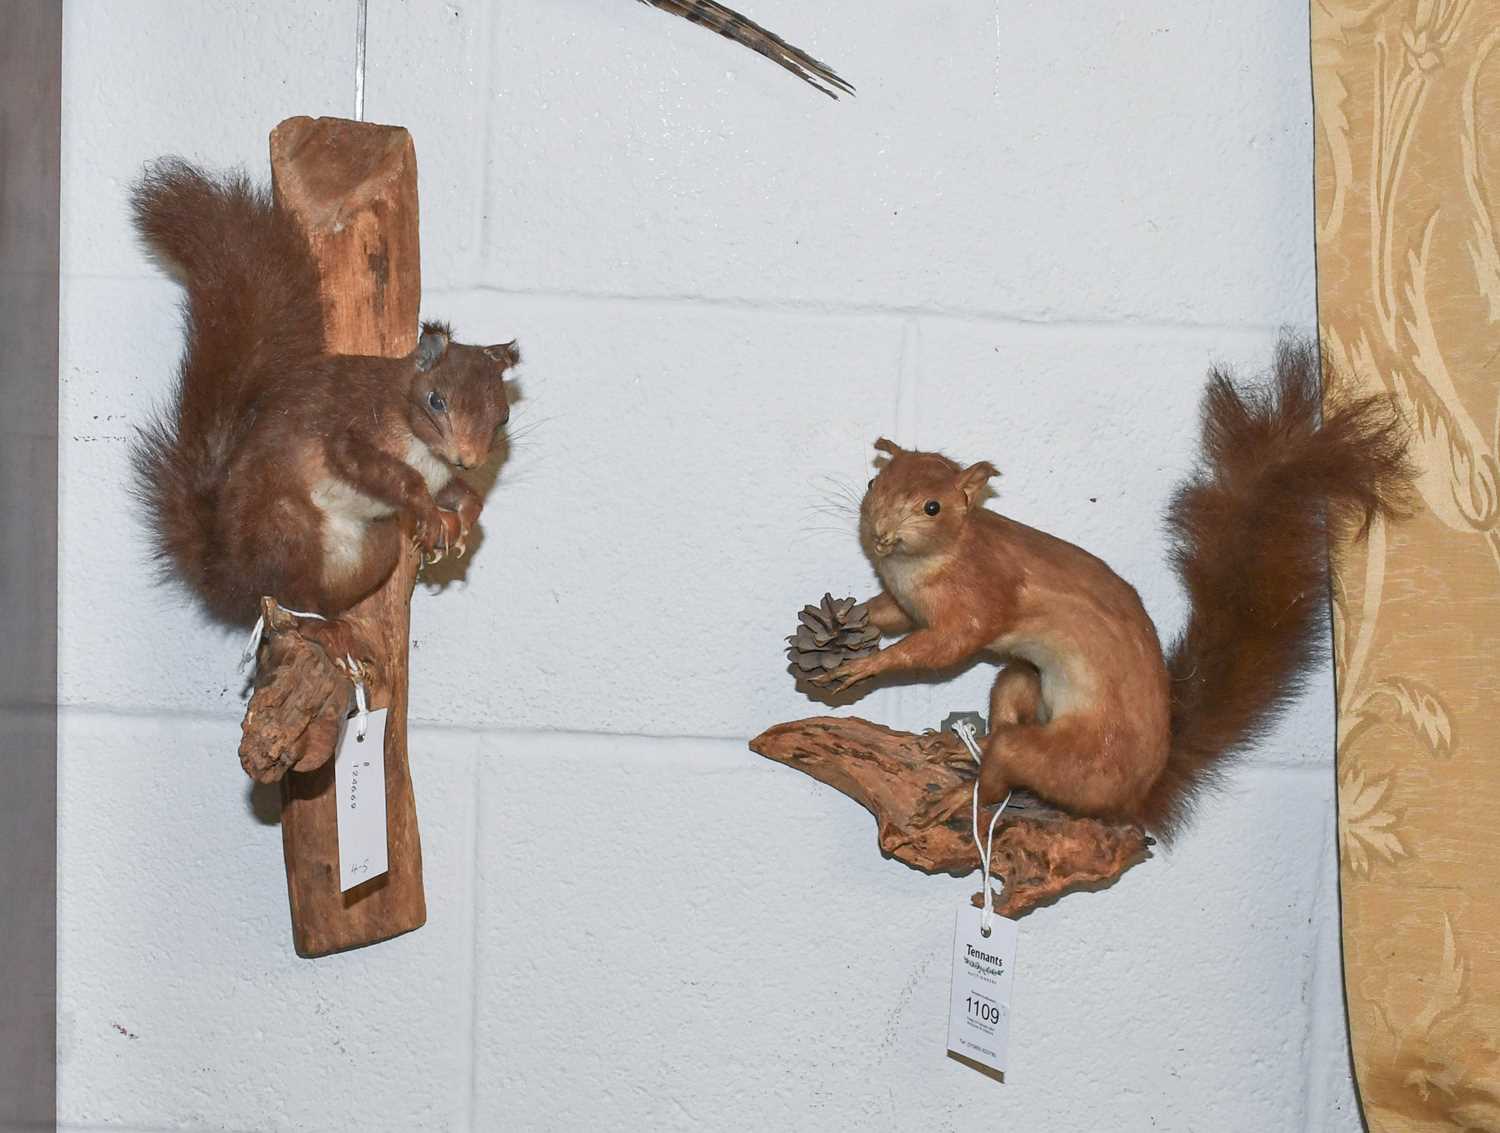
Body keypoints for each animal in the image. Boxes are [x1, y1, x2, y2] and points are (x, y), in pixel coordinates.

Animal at [126, 162, 522, 663]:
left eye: (503, 417)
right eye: (437, 401)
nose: (468, 458)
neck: (419, 439)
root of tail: (228, 576)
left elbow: (460, 492)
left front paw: (461, 519)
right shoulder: (353, 428)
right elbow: (382, 469)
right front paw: (431, 514)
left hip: (376, 545)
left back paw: (338, 621)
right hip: (285, 529)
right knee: (288, 593)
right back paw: (323, 629)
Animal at [816, 343, 1410, 840]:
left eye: (932, 507)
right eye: (874, 483)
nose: (880, 535)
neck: (923, 565)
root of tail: (1133, 798)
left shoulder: (982, 596)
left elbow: (943, 646)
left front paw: (866, 665)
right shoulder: (905, 600)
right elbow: (891, 616)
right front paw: (845, 623)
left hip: (1076, 760)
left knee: (1008, 773)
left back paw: (965, 794)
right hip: (1024, 681)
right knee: (1006, 707)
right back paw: (963, 747)